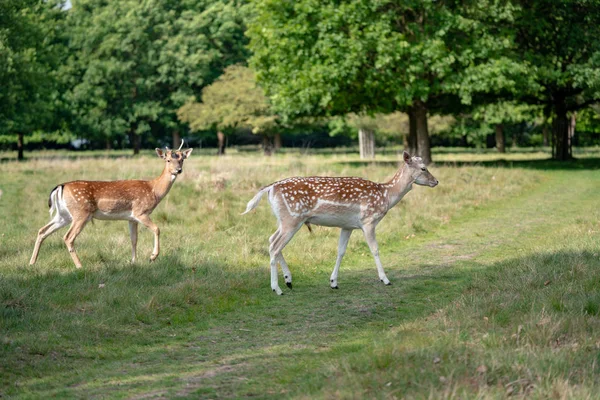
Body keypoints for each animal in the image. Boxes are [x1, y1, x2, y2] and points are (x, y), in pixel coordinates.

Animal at [29, 141, 193, 268]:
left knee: (42, 230)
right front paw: (152, 257)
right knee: (68, 237)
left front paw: (133, 262)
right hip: (81, 212)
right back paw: (80, 266)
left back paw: (32, 263)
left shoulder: (131, 218)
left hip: (64, 215)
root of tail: (60, 186)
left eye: (182, 159)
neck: (154, 190)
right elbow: (157, 229)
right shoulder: (140, 211)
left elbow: (134, 239)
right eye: (168, 160)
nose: (178, 170)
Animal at [241, 152, 438, 296]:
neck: (386, 195)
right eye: (423, 168)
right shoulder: (368, 221)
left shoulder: (347, 226)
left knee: (271, 240)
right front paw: (385, 279)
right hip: (292, 218)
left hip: (284, 219)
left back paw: (288, 280)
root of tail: (270, 188)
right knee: (275, 246)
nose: (436, 181)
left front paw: (333, 282)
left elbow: (341, 251)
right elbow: (374, 249)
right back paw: (277, 288)